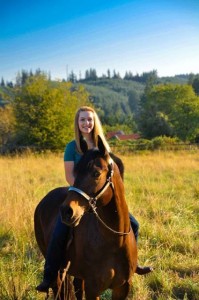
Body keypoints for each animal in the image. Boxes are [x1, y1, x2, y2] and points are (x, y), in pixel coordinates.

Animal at [34, 137, 137, 298]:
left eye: (96, 173)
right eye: (76, 173)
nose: (66, 211)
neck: (115, 241)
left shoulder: (123, 287)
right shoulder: (93, 288)